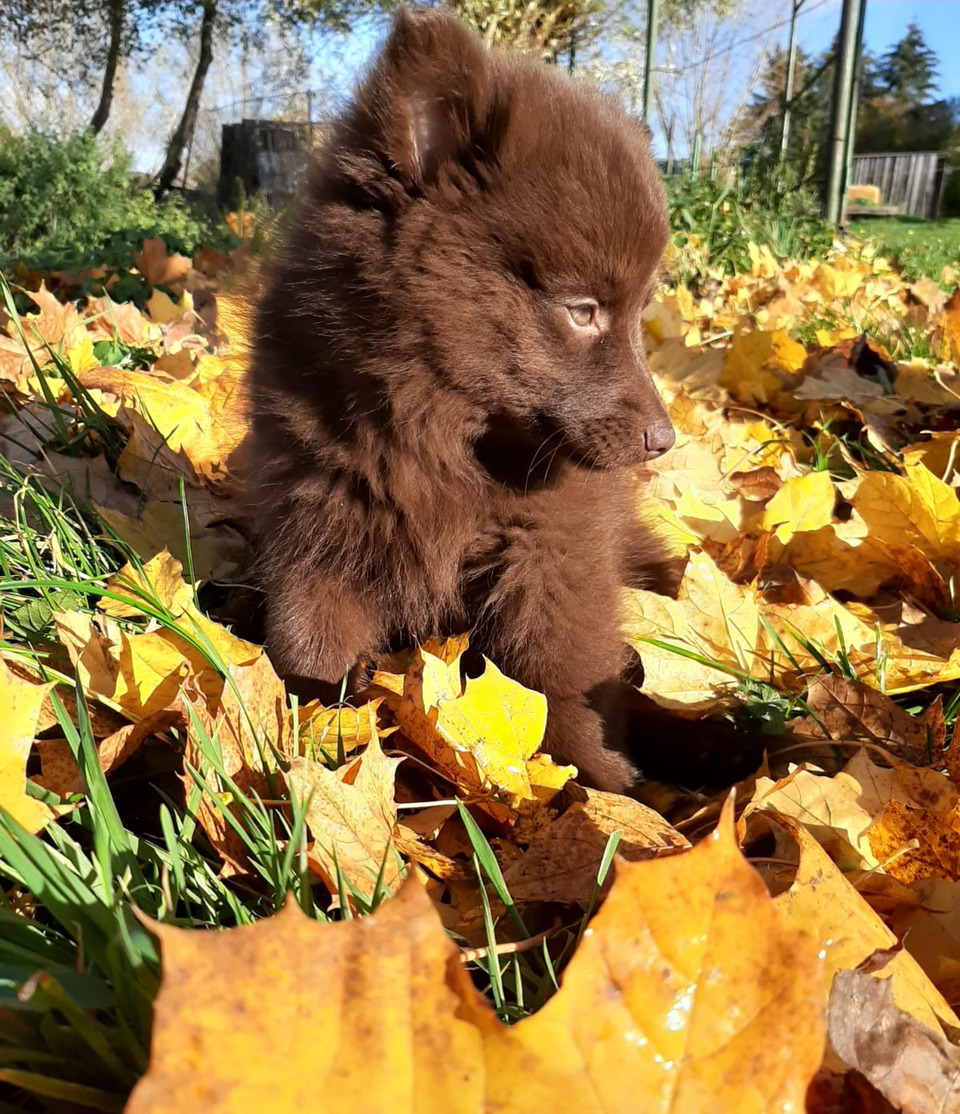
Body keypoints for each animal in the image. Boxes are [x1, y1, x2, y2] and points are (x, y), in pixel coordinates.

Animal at [251, 6, 681, 793]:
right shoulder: (318, 521)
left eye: (640, 314)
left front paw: (606, 793)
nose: (664, 440)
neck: (436, 434)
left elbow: (565, 678)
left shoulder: (556, 554)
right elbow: (308, 646)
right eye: (582, 311)